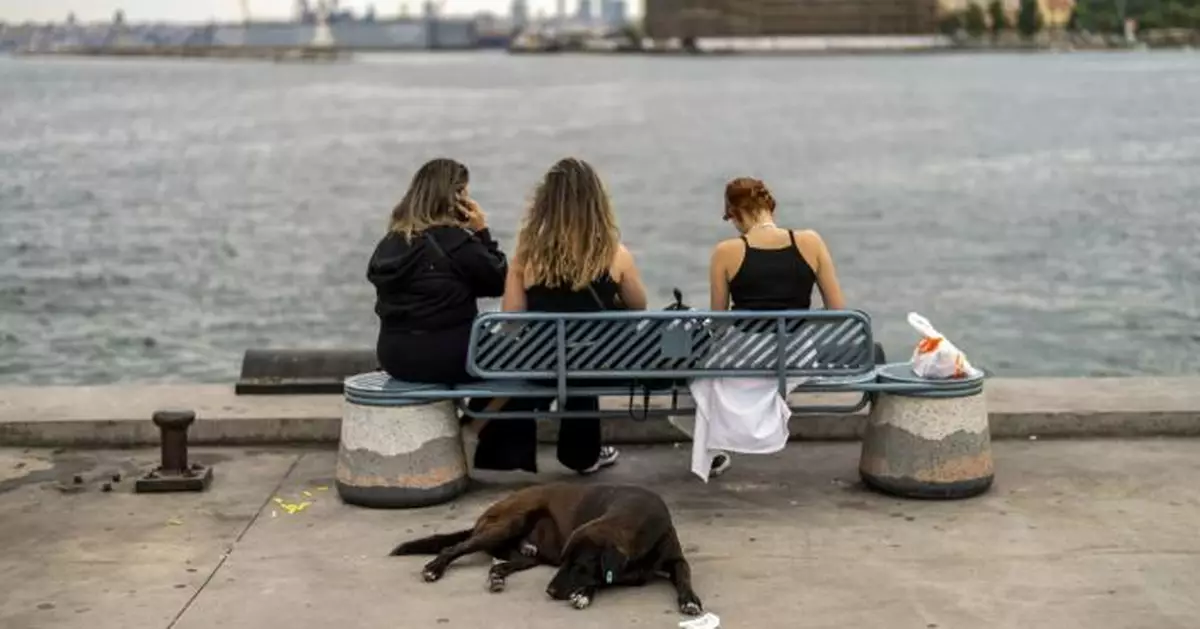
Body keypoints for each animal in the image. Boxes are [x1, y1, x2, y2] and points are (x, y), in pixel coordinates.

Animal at [384, 482, 700, 614]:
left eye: (579, 566)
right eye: (565, 562)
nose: (549, 591)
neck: (635, 516)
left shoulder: (677, 560)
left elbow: (684, 575)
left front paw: (690, 600)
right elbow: (603, 579)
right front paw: (584, 593)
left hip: (528, 556)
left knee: (503, 562)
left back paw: (497, 576)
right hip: (506, 524)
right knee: (454, 548)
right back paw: (434, 568)